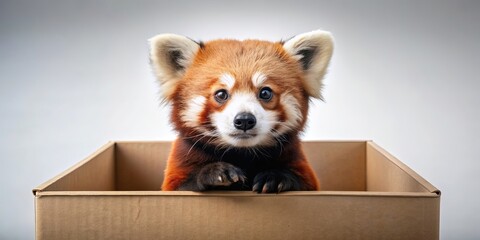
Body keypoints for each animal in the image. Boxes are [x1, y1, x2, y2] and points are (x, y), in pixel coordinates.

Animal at [150, 30, 334, 192]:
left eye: (265, 93)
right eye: (221, 94)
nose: (244, 120)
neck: (243, 153)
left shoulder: (297, 160)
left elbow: (304, 182)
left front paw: (275, 177)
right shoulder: (181, 160)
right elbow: (183, 185)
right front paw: (216, 172)